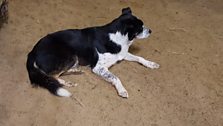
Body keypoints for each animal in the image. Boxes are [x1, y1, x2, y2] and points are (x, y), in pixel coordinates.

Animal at [26, 7, 159, 98]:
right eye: (140, 27)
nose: (151, 31)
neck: (118, 37)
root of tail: (32, 52)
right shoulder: (98, 67)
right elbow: (115, 77)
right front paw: (122, 90)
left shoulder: (123, 53)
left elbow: (140, 58)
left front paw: (151, 64)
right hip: (70, 55)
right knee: (52, 76)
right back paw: (67, 82)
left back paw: (77, 70)